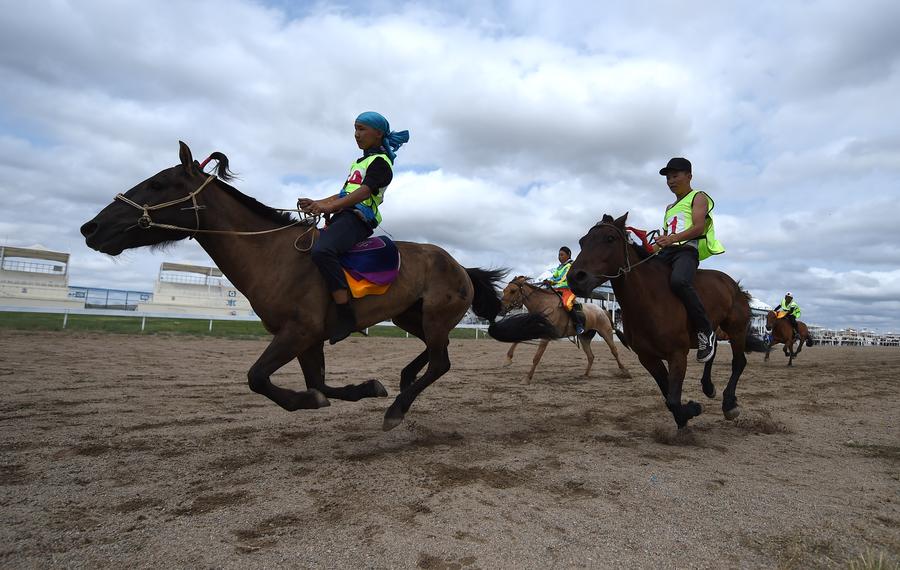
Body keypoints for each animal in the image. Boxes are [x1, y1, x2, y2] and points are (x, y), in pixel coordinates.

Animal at [79, 143, 506, 430]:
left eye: (157, 184)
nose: (91, 228)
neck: (272, 254)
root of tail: (459, 266)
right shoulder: (307, 339)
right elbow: (320, 384)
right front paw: (365, 387)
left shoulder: (299, 331)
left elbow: (257, 378)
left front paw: (311, 400)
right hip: (409, 316)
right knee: (435, 353)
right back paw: (403, 382)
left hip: (432, 315)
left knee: (441, 360)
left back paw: (398, 409)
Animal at [496, 276, 628, 382]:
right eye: (504, 290)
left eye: (513, 291)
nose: (501, 308)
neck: (543, 305)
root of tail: (602, 311)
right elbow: (517, 340)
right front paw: (507, 360)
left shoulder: (545, 336)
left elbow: (536, 357)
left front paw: (527, 378)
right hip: (584, 338)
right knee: (591, 356)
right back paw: (585, 375)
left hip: (606, 333)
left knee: (614, 351)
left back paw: (625, 371)